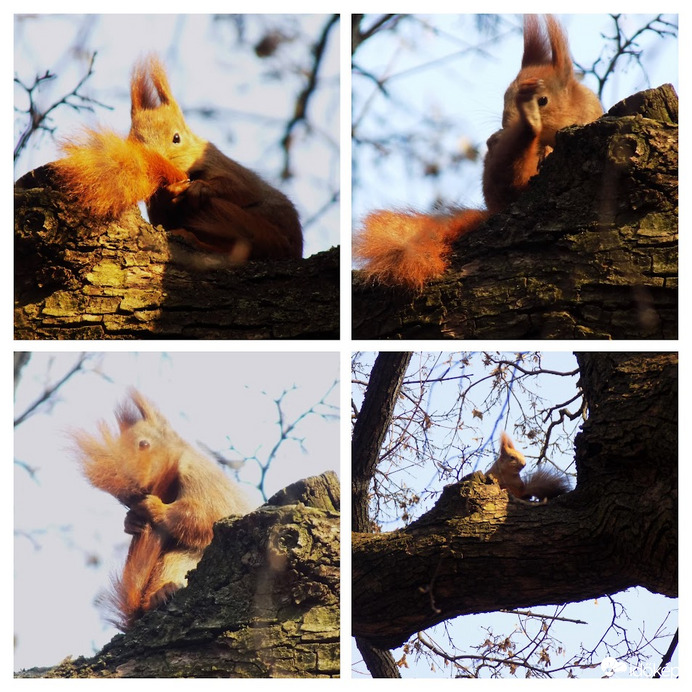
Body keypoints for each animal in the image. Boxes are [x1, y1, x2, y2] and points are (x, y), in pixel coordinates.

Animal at [52, 56, 302, 262]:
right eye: (134, 143)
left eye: (176, 138)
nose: (163, 167)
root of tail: (289, 248)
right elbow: (162, 217)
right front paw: (171, 191)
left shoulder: (222, 165)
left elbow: (239, 188)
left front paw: (201, 187)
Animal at [72, 386, 251, 628]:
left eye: (144, 443)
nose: (136, 486)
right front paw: (131, 521)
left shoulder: (206, 486)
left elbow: (202, 517)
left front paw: (154, 507)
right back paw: (158, 595)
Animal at [354, 13, 604, 290]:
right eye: (504, 96)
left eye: (544, 100)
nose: (506, 124)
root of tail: (495, 207)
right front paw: (502, 138)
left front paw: (545, 145)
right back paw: (527, 129)